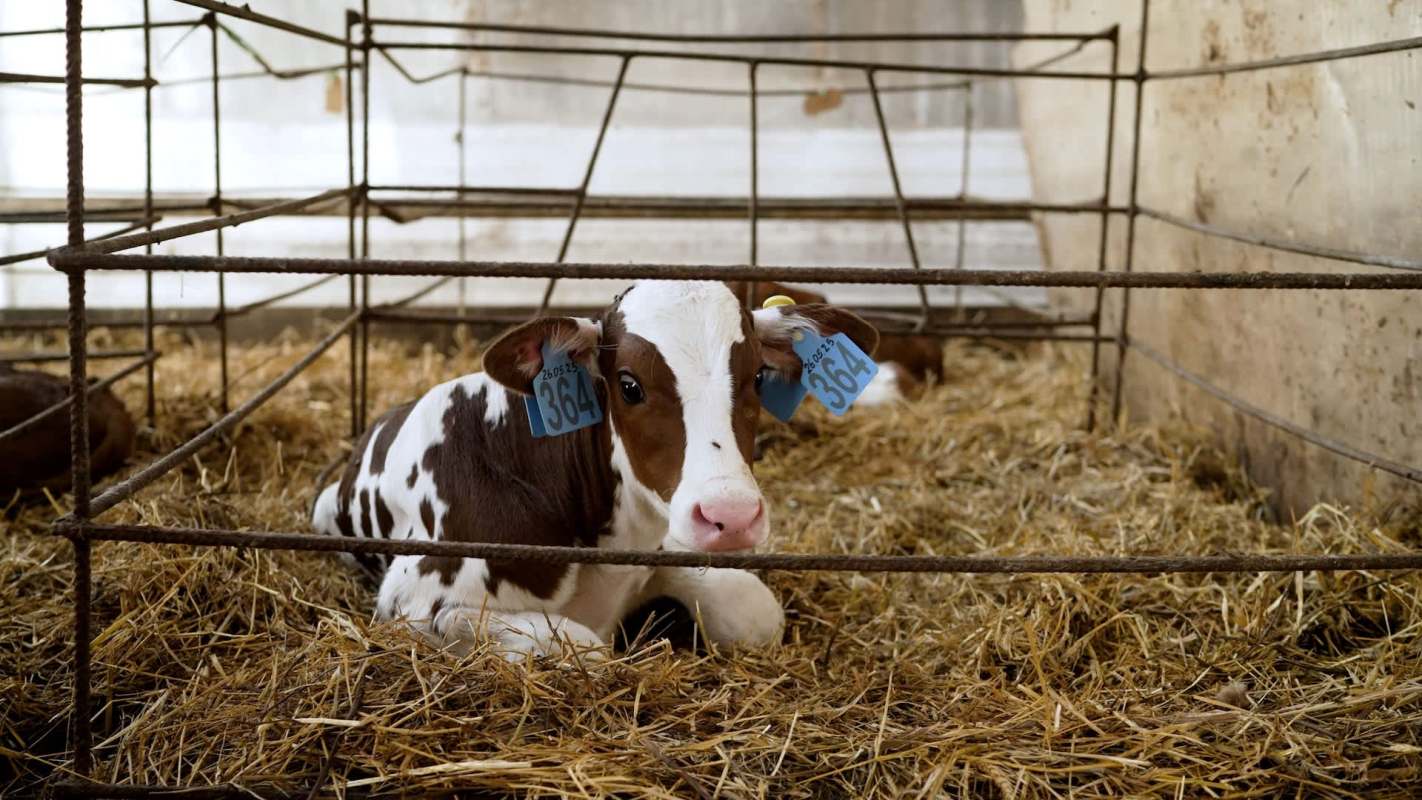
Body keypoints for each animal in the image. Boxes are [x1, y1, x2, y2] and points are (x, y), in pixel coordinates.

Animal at [312, 281, 878, 659]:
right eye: (629, 385)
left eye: (758, 376)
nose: (731, 515)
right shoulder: (411, 599)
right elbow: (585, 648)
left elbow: (756, 612)